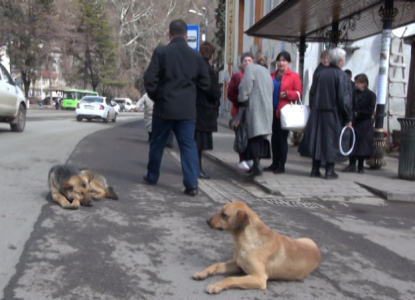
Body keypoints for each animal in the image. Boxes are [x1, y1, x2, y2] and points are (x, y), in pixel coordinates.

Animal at [193, 200, 324, 294]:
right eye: (221, 211)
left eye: (224, 215)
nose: (206, 220)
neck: (245, 240)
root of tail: (317, 250)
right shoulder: (237, 265)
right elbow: (216, 265)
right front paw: (202, 273)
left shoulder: (259, 278)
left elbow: (231, 278)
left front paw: (216, 285)